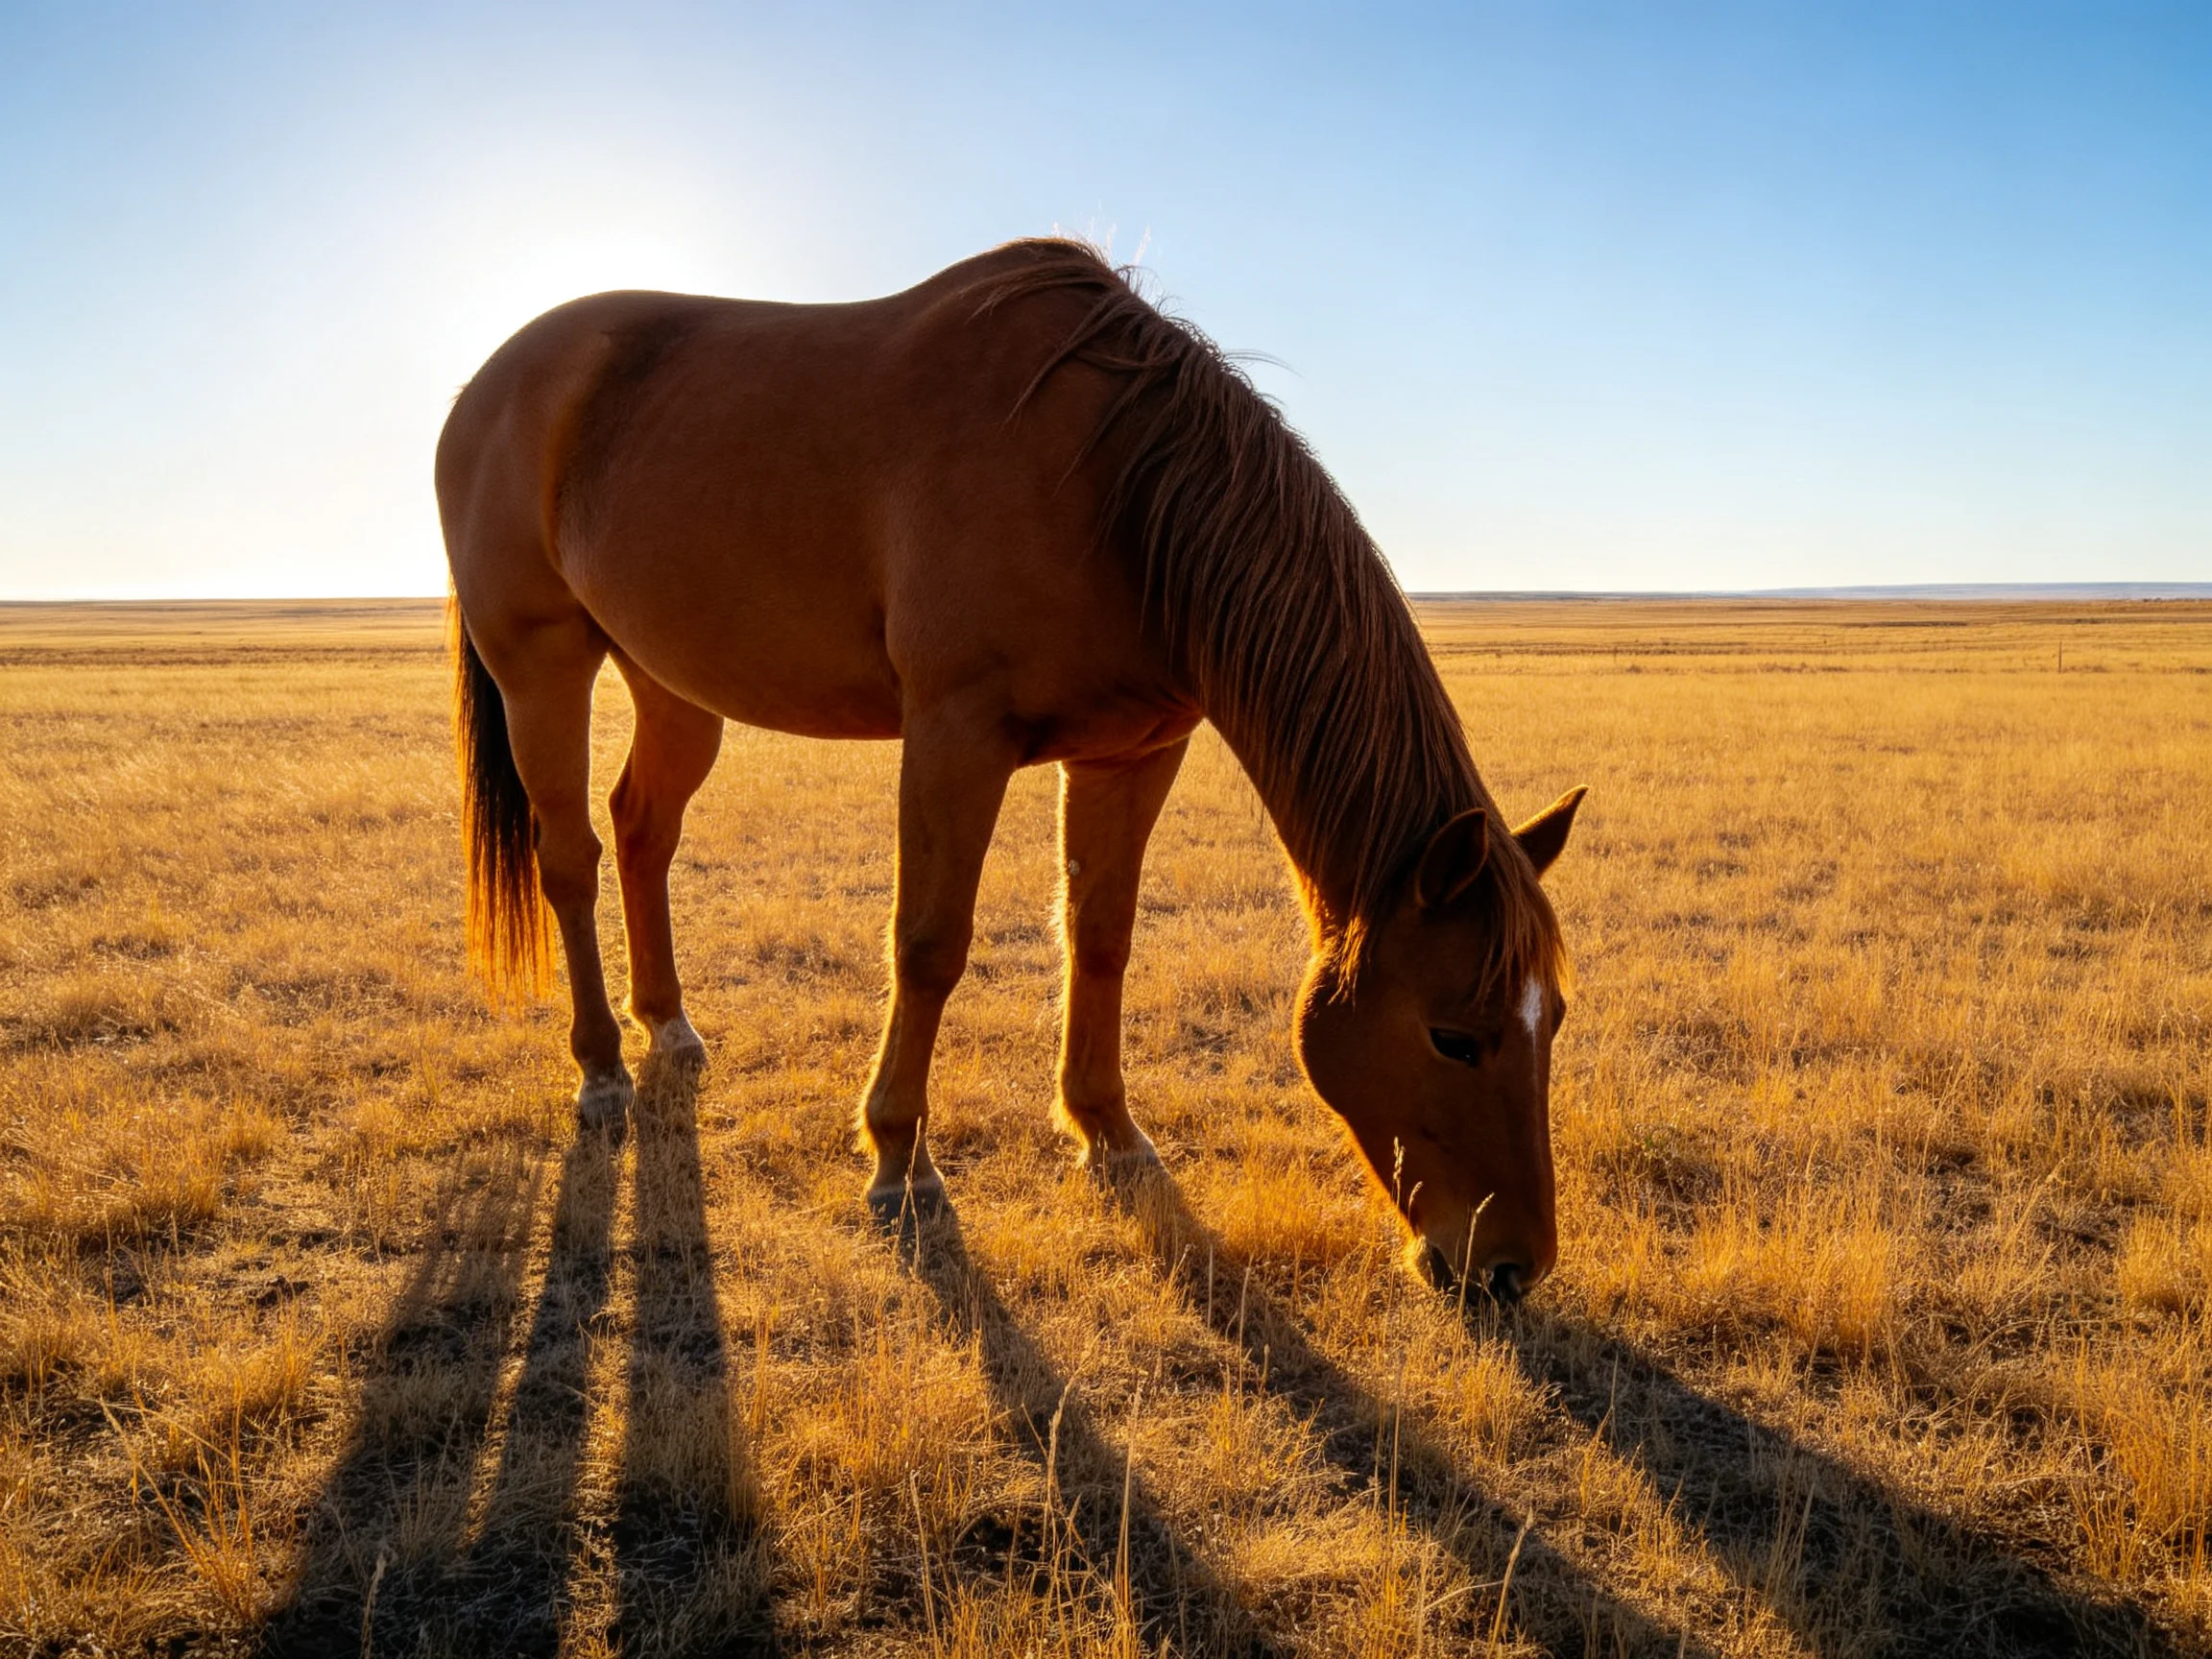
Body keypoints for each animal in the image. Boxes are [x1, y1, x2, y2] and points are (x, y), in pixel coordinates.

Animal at [436, 239, 1585, 1302]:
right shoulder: (957, 734)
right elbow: (929, 946)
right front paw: (899, 1158)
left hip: (675, 682)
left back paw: (668, 1026)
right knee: (570, 857)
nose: (1512, 1268)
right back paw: (599, 1068)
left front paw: (1107, 1130)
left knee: (642, 830)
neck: (1115, 483)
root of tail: (488, 386)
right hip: (542, 664)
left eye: (1555, 1021)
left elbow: (1103, 938)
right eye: (1455, 1037)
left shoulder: (1135, 752)